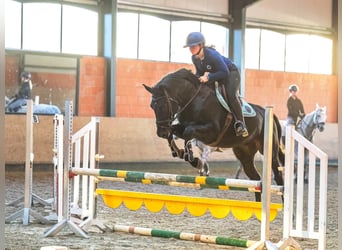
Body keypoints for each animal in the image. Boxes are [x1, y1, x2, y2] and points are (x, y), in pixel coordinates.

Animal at [143, 68, 284, 201]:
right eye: (151, 106)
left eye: (162, 106)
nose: (160, 132)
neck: (193, 99)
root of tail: (267, 112)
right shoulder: (182, 127)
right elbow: (173, 133)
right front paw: (180, 153)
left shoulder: (212, 132)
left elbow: (188, 132)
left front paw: (192, 158)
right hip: (244, 153)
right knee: (256, 178)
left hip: (269, 151)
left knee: (278, 177)